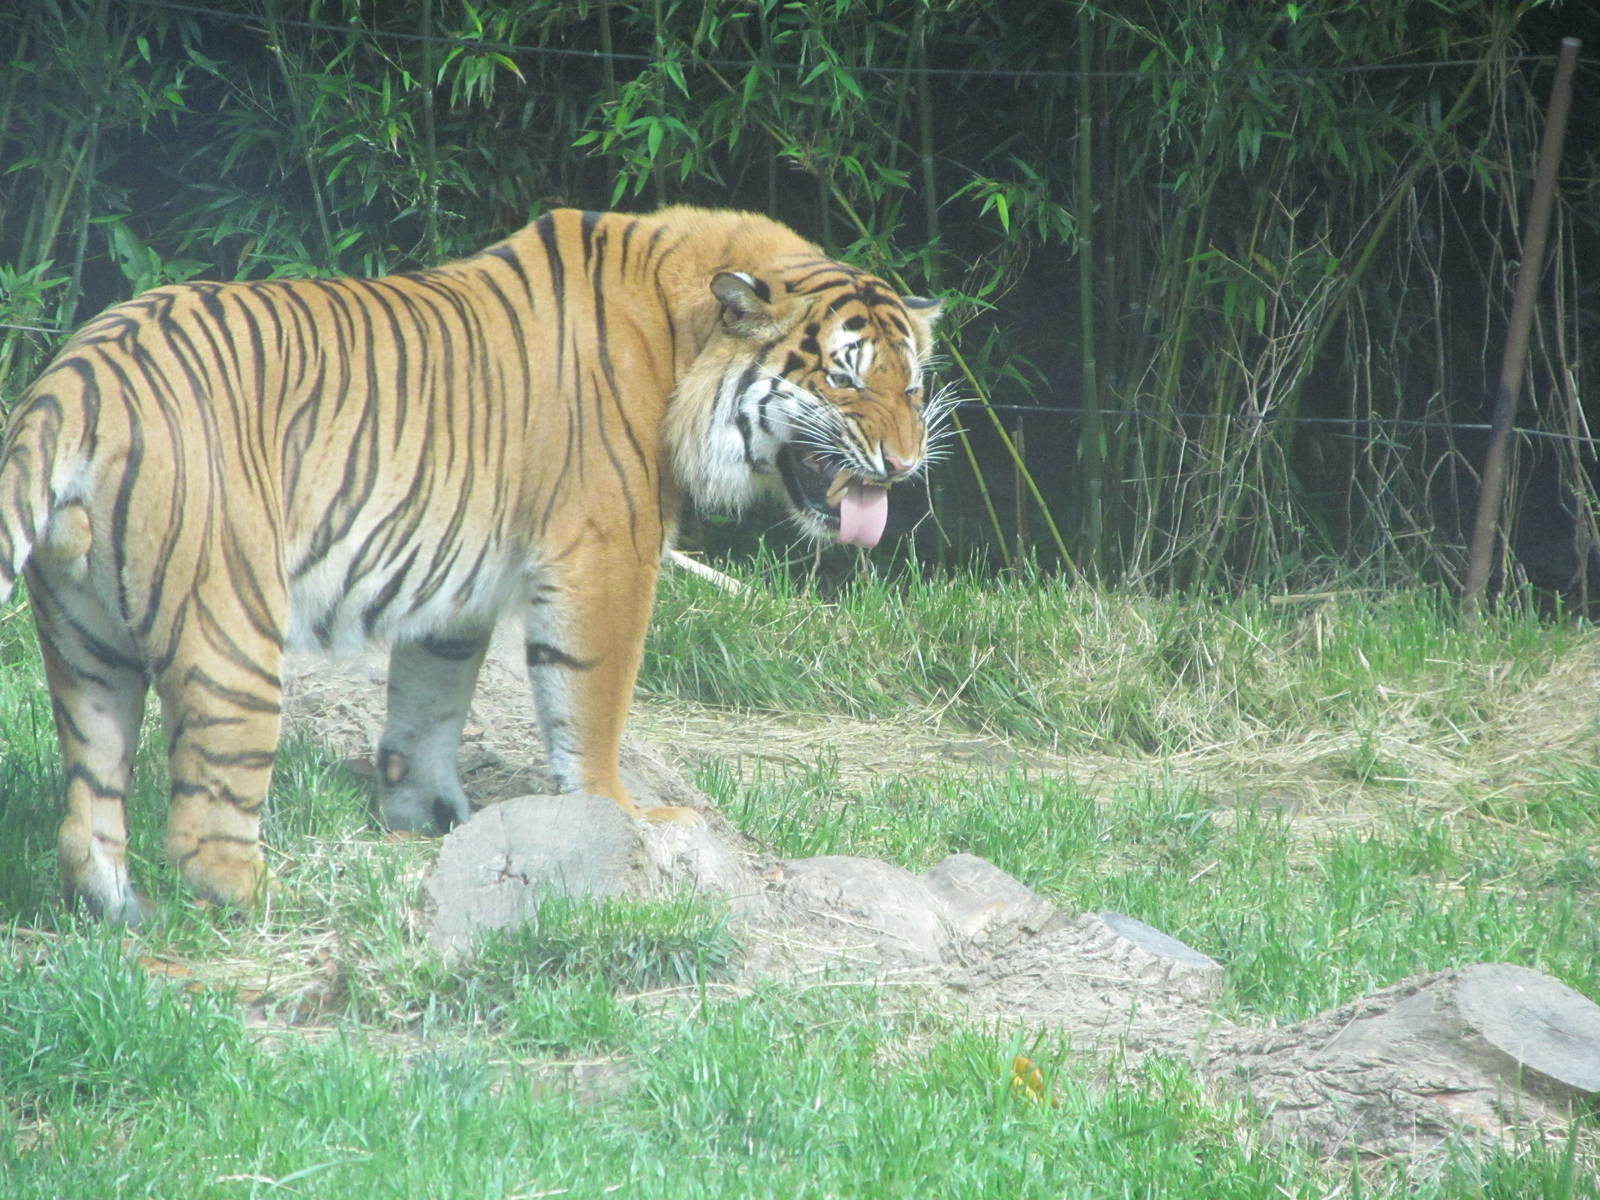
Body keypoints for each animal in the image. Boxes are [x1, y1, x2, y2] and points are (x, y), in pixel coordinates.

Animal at [0, 205, 943, 922]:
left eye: (912, 385)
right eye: (844, 379)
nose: (905, 464)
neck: (681, 340)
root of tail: (77, 373)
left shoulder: (449, 594)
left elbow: (428, 706)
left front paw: (429, 821)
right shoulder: (608, 554)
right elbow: (592, 703)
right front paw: (619, 813)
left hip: (86, 644)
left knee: (88, 811)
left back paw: (122, 915)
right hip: (229, 626)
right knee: (204, 826)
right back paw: (280, 900)